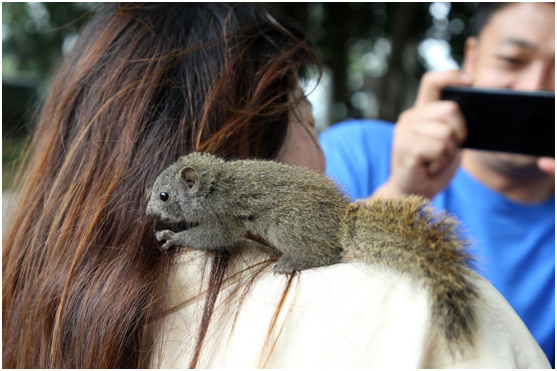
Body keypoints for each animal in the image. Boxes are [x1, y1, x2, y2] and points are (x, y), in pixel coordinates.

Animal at [147, 153, 478, 354]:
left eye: (164, 195)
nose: (147, 211)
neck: (214, 185)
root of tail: (341, 223)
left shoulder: (224, 217)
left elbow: (214, 237)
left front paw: (173, 237)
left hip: (287, 225)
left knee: (325, 255)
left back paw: (290, 261)